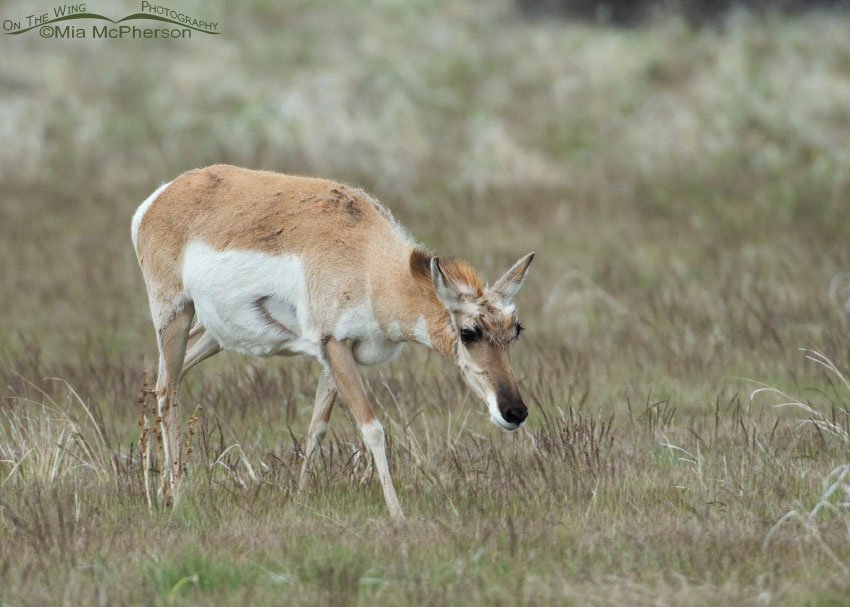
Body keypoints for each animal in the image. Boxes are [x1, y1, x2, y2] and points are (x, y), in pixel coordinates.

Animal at [132, 164, 534, 519]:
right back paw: (176, 497)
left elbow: (317, 428)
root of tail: (159, 197)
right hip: (174, 317)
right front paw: (398, 515)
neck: (370, 262)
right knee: (167, 391)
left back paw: (160, 491)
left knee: (168, 379)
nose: (515, 413)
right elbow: (372, 428)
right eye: (468, 333)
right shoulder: (336, 346)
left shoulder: (333, 355)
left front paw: (298, 501)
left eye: (515, 330)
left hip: (210, 334)